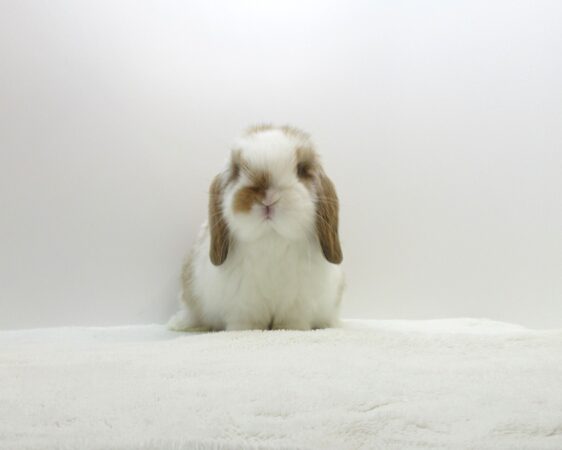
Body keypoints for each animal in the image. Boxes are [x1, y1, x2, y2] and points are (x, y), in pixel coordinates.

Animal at [168, 125, 344, 331]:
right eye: (236, 170)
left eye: (301, 169)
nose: (268, 197)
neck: (272, 240)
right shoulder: (242, 304)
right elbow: (246, 322)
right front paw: (245, 331)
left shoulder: (298, 303)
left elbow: (292, 321)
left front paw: (291, 329)